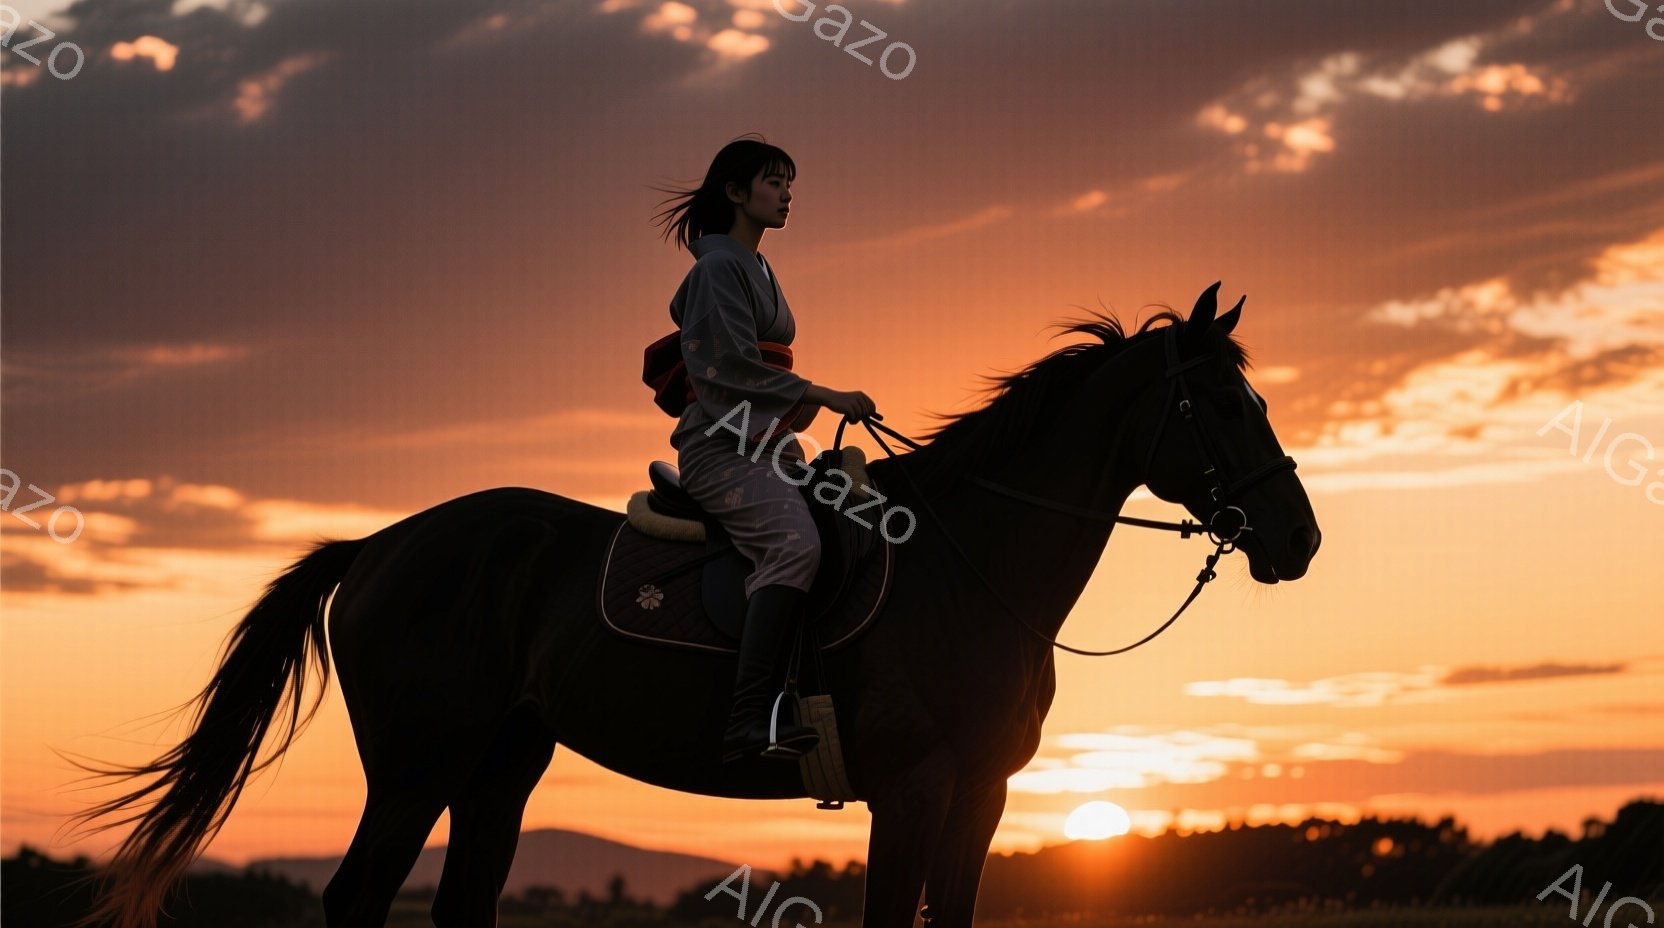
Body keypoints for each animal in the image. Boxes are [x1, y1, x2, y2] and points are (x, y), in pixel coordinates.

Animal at [59, 281, 1320, 928]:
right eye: (1218, 402)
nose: (1298, 541)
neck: (970, 565)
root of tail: (380, 545)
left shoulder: (980, 794)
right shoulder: (911, 788)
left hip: (499, 766)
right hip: (417, 762)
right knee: (360, 898)